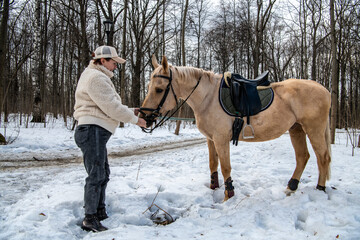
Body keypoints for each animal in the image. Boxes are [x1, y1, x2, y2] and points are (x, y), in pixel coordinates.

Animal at [141, 55, 332, 201]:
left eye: (159, 89)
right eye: (149, 87)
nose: (144, 116)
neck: (208, 97)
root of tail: (324, 89)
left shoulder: (221, 139)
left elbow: (225, 167)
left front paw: (228, 196)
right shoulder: (210, 139)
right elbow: (213, 164)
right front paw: (214, 188)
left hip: (313, 129)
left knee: (322, 158)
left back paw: (320, 188)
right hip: (296, 129)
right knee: (303, 157)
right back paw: (291, 187)